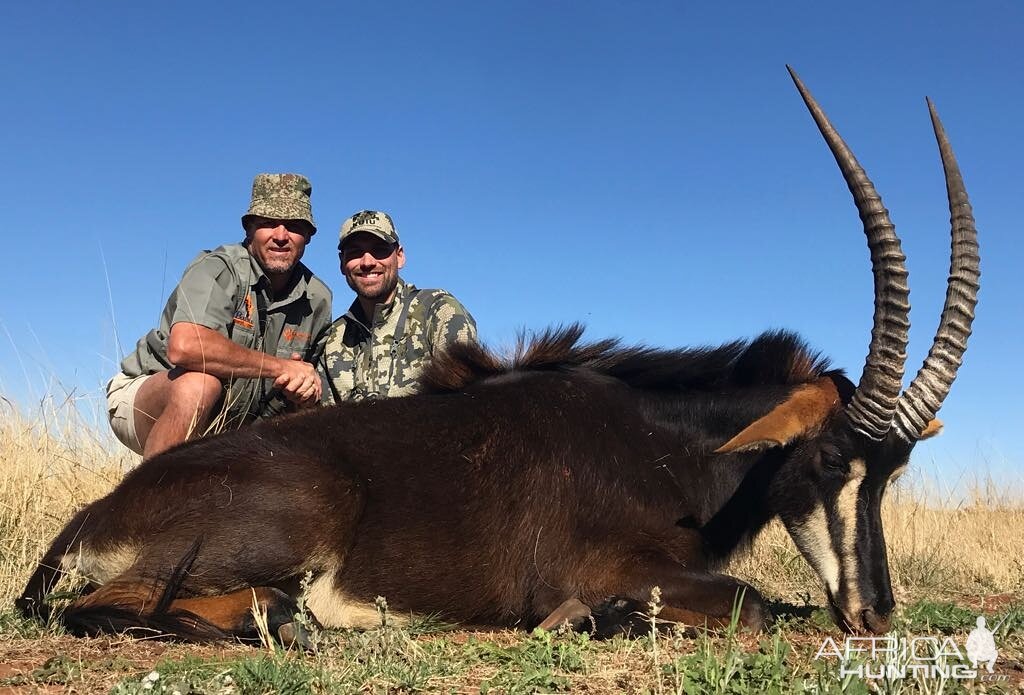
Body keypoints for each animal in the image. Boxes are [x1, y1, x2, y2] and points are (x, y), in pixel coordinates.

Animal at [14, 69, 974, 642]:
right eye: (828, 461)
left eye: (892, 474)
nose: (876, 613)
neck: (664, 441)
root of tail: (91, 516)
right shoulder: (612, 567)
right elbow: (756, 601)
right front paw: (597, 618)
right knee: (110, 607)